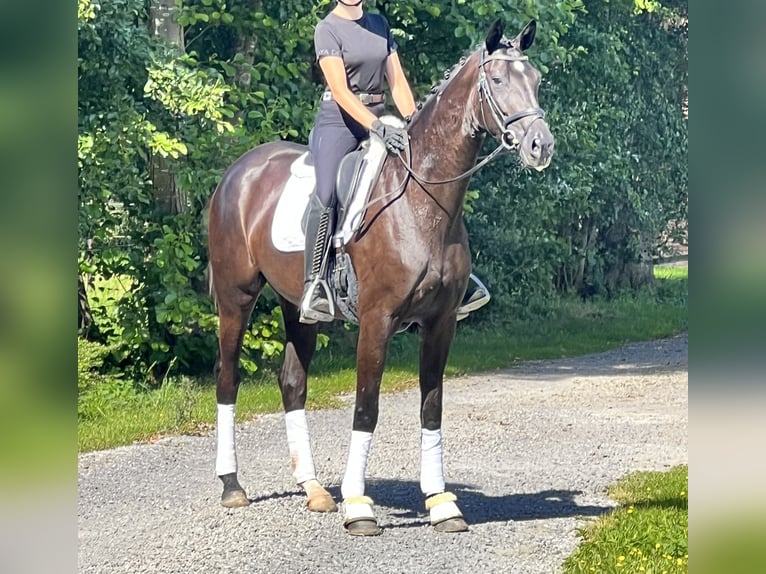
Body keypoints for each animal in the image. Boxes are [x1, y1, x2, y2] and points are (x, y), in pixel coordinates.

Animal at [207, 19, 556, 540]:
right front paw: (358, 506)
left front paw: (441, 503)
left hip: (298, 306)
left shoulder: (440, 322)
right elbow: (366, 408)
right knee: (227, 378)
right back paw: (232, 485)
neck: (421, 199)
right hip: (236, 298)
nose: (541, 145)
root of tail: (238, 171)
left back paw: (314, 490)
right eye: (496, 81)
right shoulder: (376, 320)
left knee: (292, 382)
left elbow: (431, 407)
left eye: (535, 79)